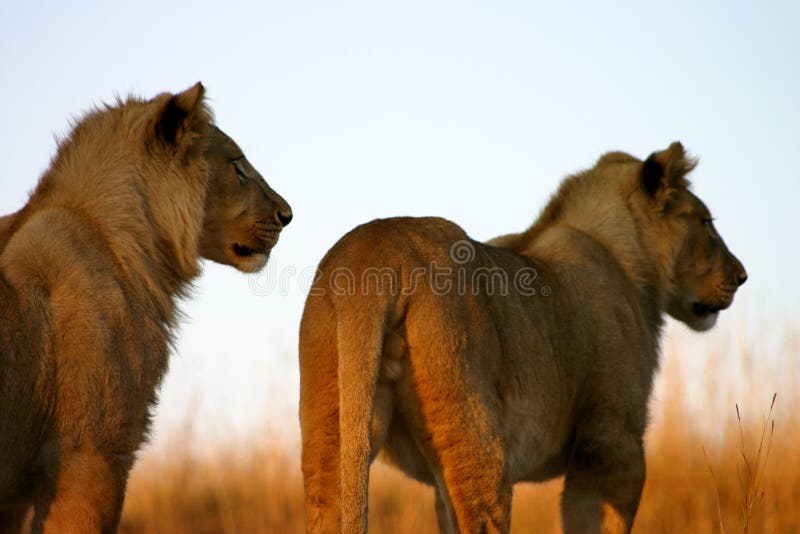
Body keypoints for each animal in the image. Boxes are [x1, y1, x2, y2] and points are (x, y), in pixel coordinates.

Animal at [296, 143, 748, 534]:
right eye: (706, 223)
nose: (742, 276)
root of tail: (376, 253)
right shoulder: (611, 445)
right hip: (475, 433)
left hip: (334, 422)